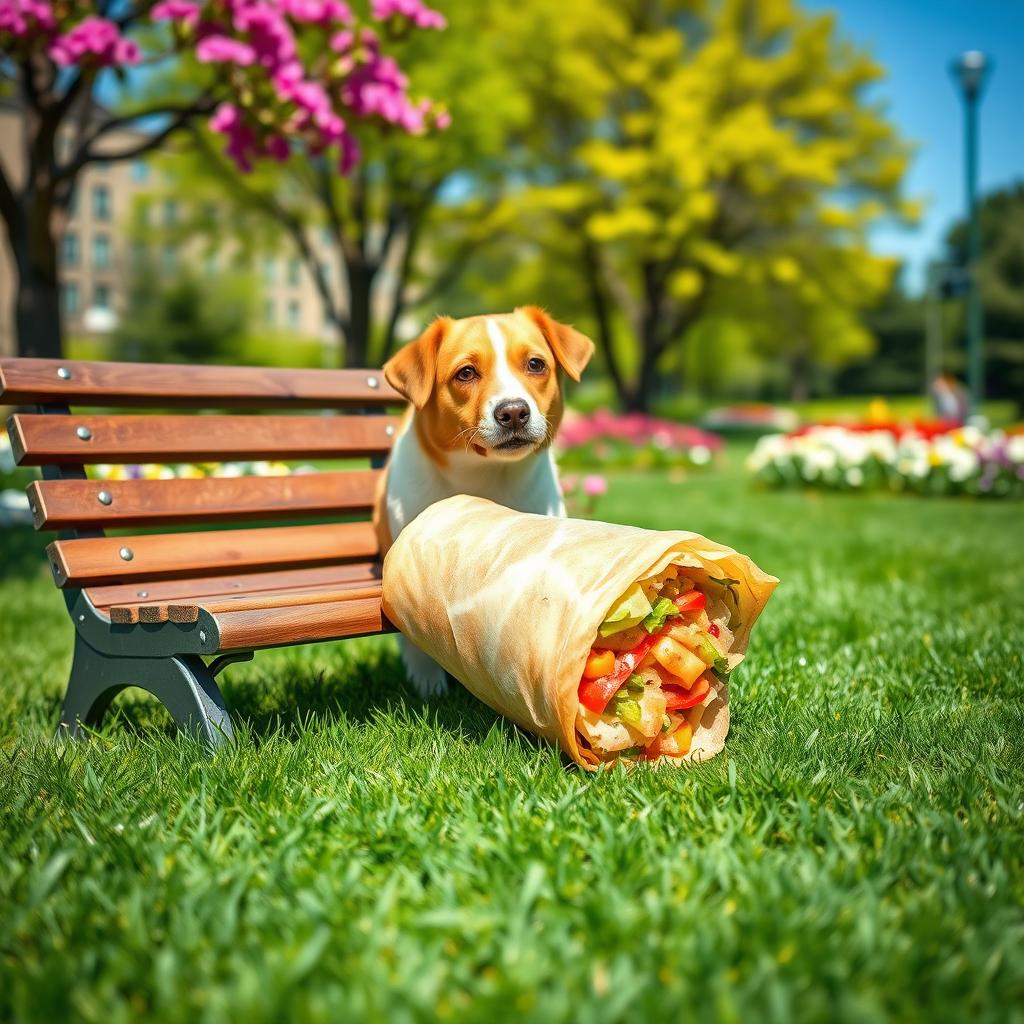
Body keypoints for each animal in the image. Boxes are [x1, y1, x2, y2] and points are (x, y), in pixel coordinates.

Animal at [372, 305, 593, 696]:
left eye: (535, 364)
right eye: (466, 373)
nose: (514, 411)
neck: (486, 477)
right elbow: (416, 643)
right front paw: (428, 685)